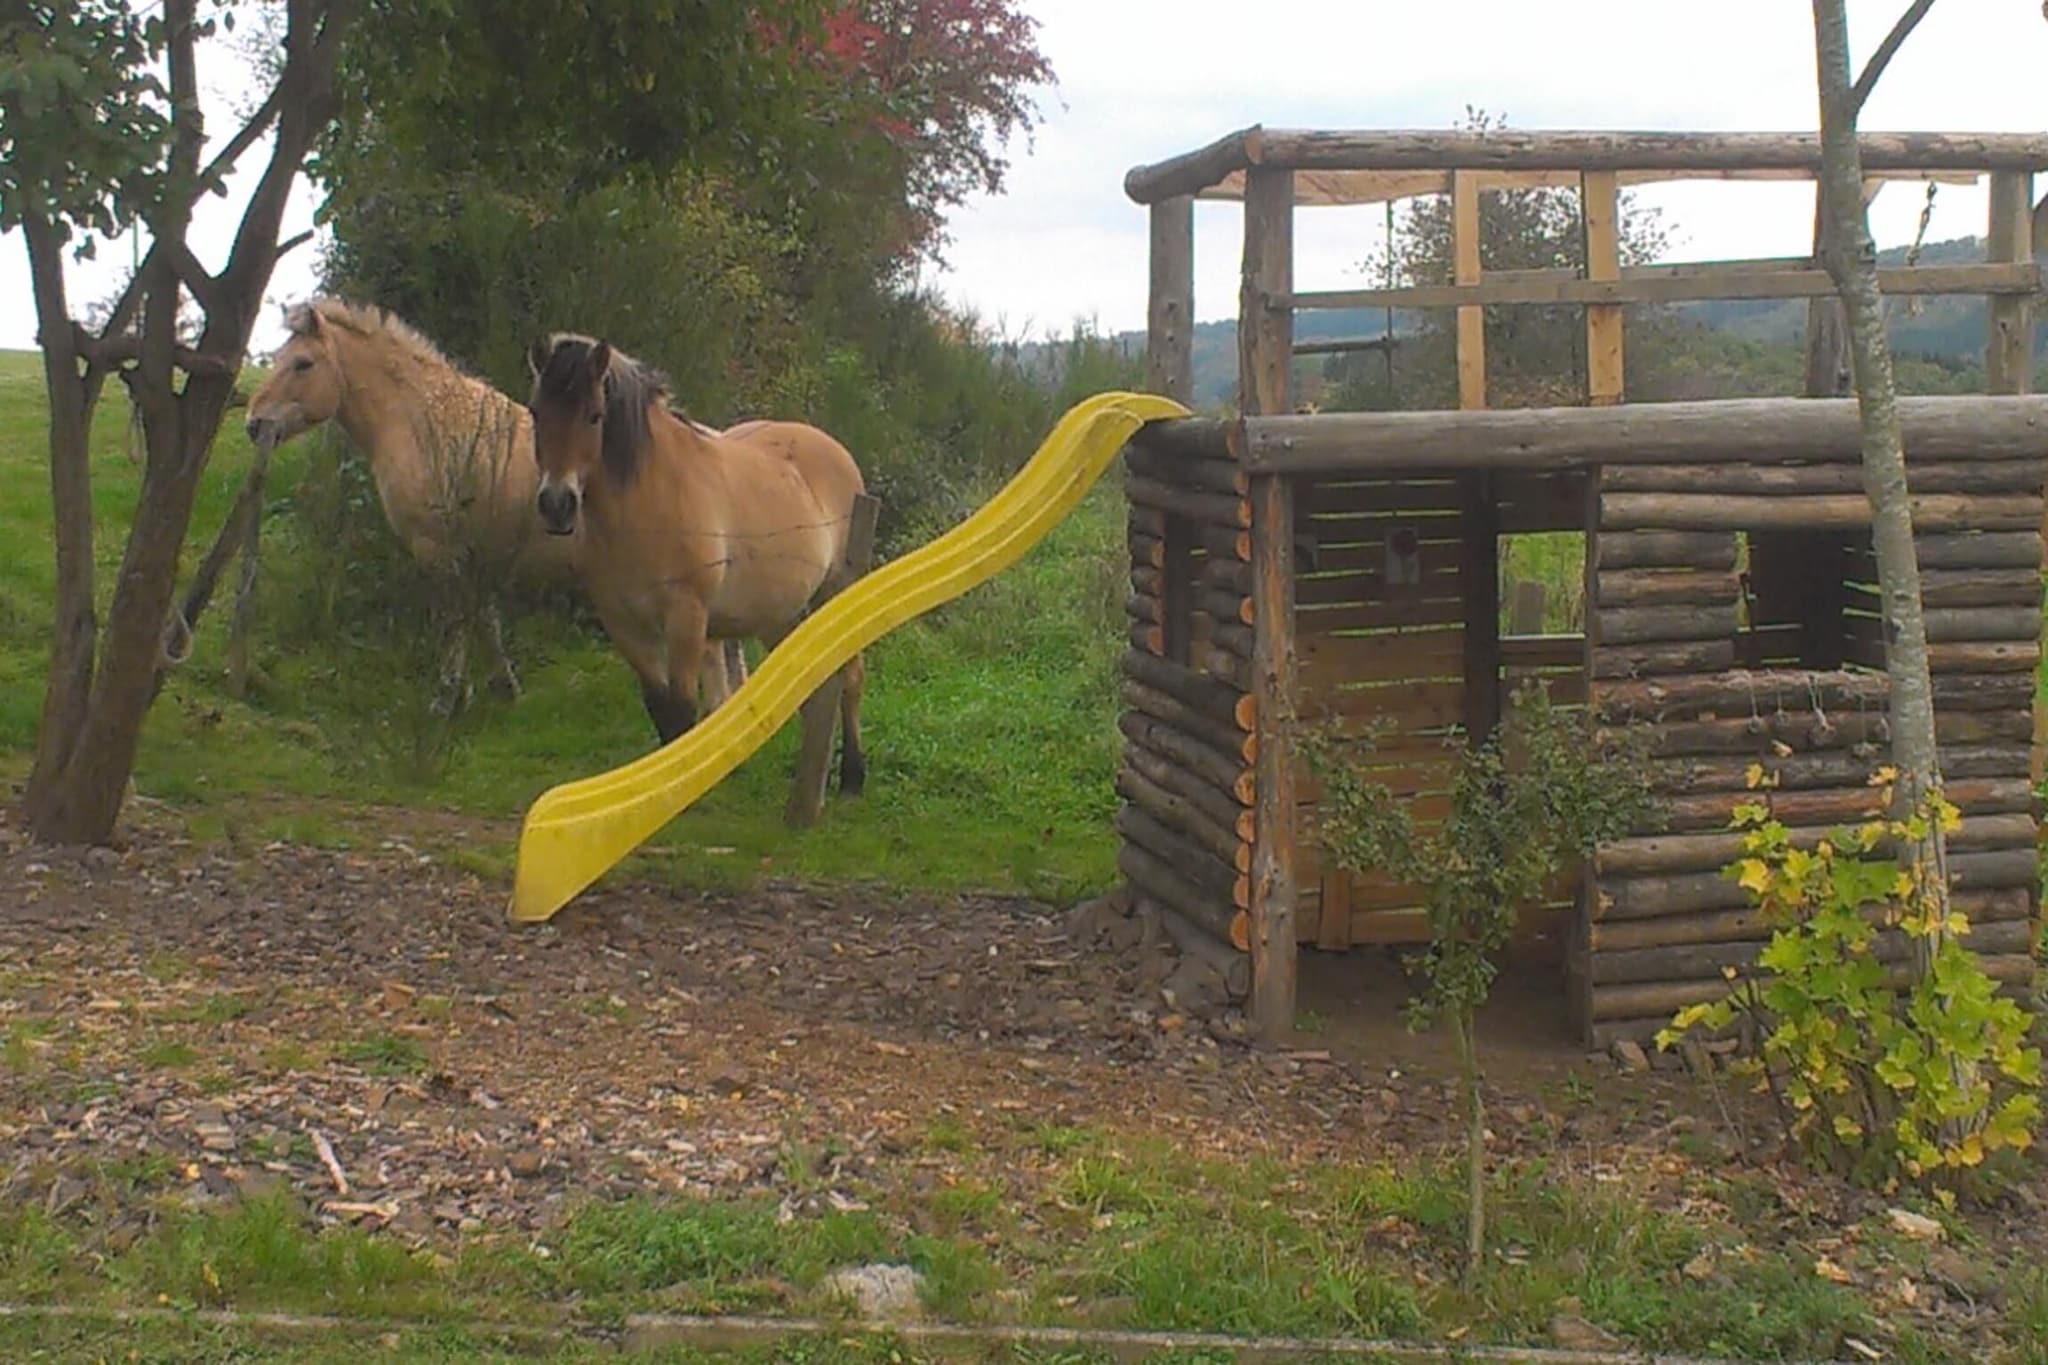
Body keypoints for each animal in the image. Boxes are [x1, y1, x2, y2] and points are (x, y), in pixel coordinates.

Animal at [245, 298, 745, 703]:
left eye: (303, 364)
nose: (254, 423)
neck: (420, 422)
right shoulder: (475, 553)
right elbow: (484, 619)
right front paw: (504, 686)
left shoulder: (438, 550)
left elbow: (456, 622)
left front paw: (449, 695)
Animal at [524, 335, 868, 794]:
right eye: (536, 412)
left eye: (595, 415)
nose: (557, 506)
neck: (647, 503)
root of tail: (837, 451)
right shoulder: (623, 625)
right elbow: (661, 708)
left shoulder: (685, 616)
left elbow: (683, 710)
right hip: (778, 612)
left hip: (838, 589)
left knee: (851, 676)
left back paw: (852, 776)